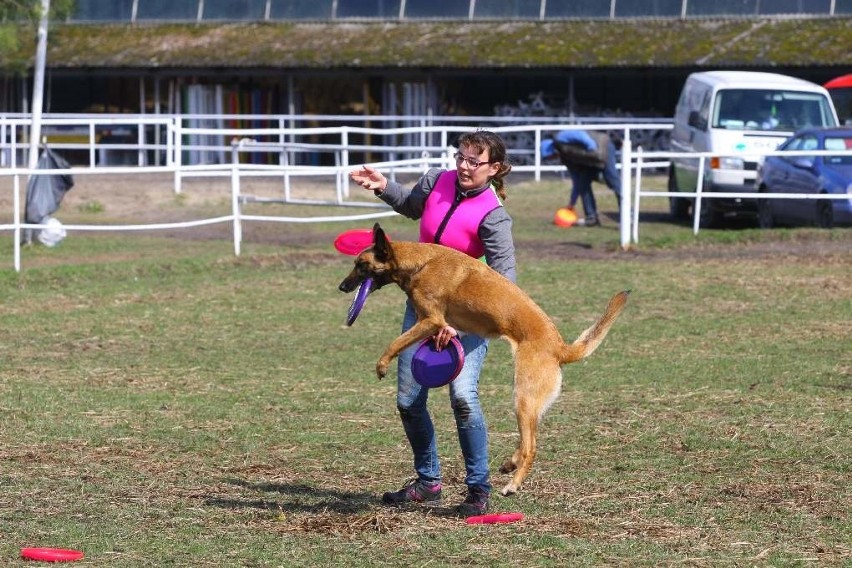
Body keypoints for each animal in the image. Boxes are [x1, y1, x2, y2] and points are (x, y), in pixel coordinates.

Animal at [338, 224, 624, 494]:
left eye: (361, 265)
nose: (342, 287)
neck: (420, 263)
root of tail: (560, 348)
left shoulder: (431, 320)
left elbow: (395, 342)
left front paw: (382, 364)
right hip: (530, 404)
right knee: (527, 439)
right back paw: (510, 463)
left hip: (522, 397)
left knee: (531, 447)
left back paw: (513, 484)